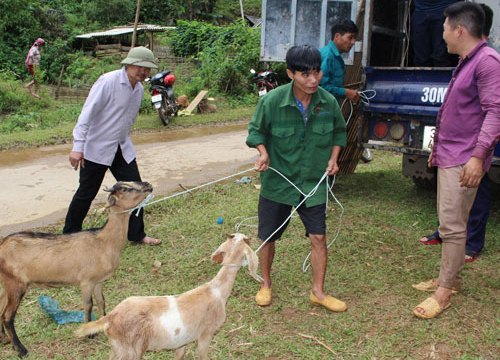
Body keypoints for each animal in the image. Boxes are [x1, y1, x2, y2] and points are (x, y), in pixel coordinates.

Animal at [0, 181, 152, 356]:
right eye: (126, 189)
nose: (148, 184)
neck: (104, 241)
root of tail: (2, 244)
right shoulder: (86, 281)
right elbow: (88, 305)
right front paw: (88, 334)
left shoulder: (98, 281)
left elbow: (101, 301)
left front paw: (102, 325)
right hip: (16, 283)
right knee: (7, 316)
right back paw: (21, 349)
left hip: (5, 283)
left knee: (0, 308)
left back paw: (4, 339)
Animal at [76, 233, 262, 360]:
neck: (216, 291)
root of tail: (110, 318)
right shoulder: (206, 333)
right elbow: (202, 356)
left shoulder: (182, 341)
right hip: (130, 350)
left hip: (118, 348)